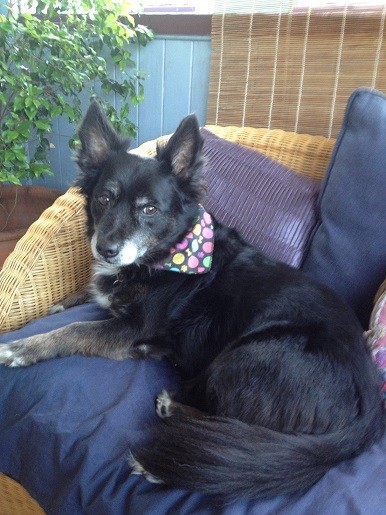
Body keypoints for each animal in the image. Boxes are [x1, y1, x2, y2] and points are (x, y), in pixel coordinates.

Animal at [0, 103, 382, 502]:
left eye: (149, 209)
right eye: (104, 198)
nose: (105, 249)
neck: (164, 255)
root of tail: (370, 412)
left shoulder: (132, 327)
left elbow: (73, 330)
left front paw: (22, 348)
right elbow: (88, 295)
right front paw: (62, 303)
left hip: (249, 357)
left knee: (236, 438)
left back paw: (170, 431)